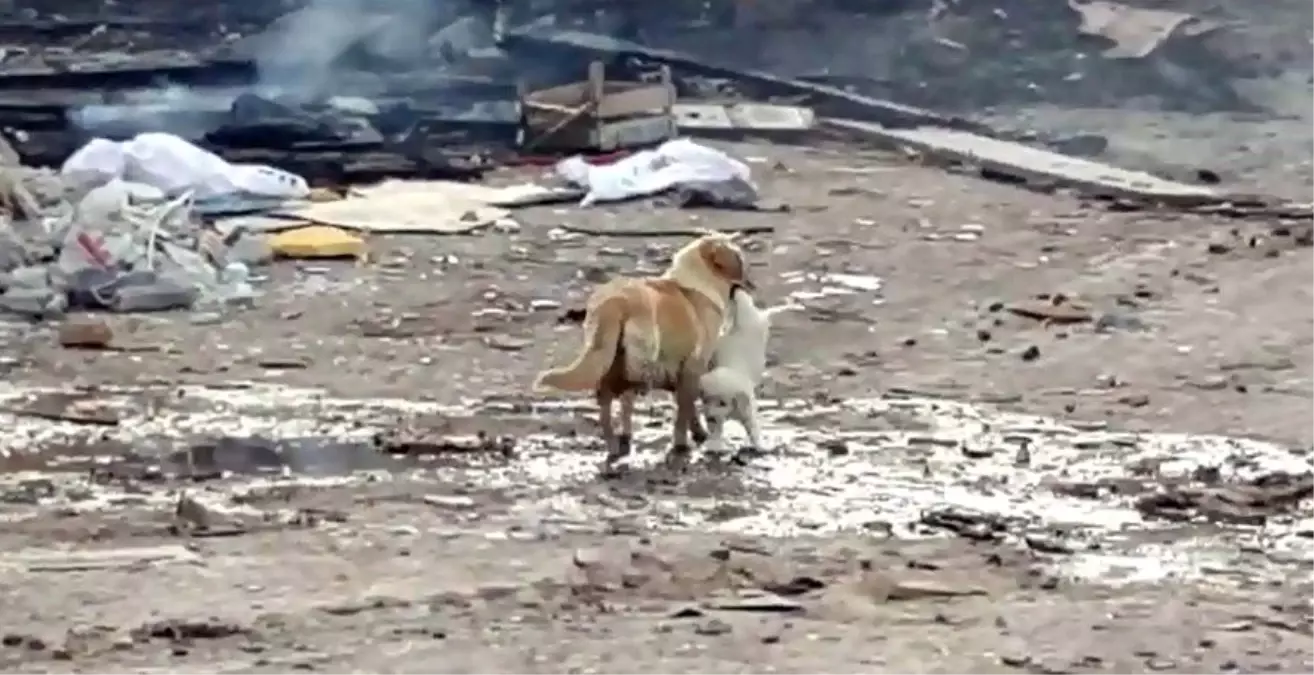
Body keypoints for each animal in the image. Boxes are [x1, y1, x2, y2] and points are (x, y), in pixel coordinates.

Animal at [530, 232, 751, 462]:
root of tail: (615, 300)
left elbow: (687, 409)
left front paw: (696, 433)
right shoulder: (692, 367)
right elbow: (684, 411)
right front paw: (683, 443)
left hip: (609, 359)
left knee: (610, 404)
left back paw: (617, 444)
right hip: (640, 361)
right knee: (621, 396)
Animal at [704, 286, 793, 449]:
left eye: (722, 402)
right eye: (707, 399)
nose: (709, 417)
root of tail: (738, 330)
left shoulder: (746, 411)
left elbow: (753, 429)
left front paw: (760, 446)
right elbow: (718, 428)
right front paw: (714, 442)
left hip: (754, 325)